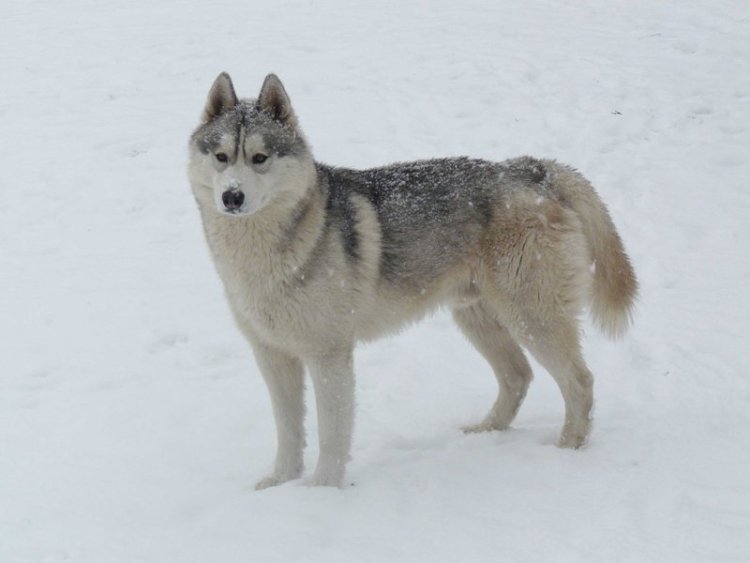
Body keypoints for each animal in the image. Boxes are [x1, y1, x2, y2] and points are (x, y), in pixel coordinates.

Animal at [189, 74, 640, 490]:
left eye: (260, 157)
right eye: (221, 156)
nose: (232, 197)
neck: (263, 253)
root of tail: (532, 169)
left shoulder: (328, 355)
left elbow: (331, 437)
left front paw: (321, 494)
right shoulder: (272, 354)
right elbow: (289, 431)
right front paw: (280, 483)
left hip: (532, 317)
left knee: (579, 380)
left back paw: (568, 449)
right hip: (477, 318)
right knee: (518, 375)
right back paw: (485, 431)